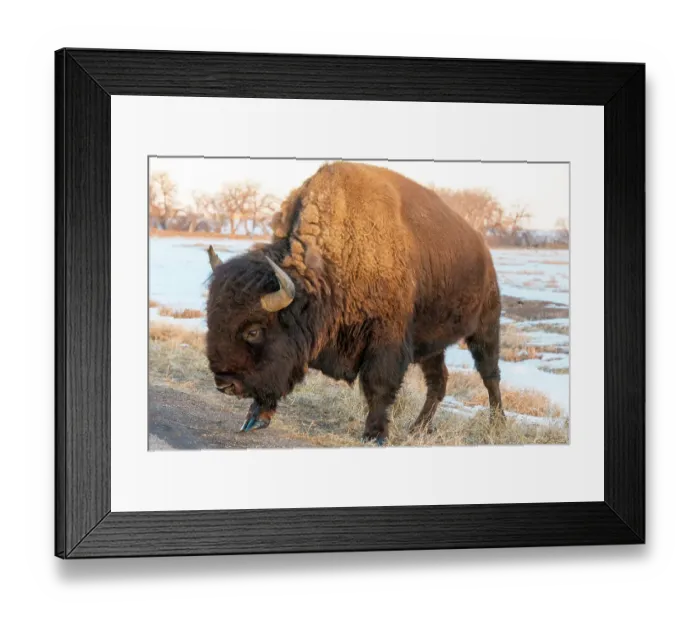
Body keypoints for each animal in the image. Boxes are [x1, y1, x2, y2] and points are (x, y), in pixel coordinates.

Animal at [206, 162, 503, 445]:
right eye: (211, 321)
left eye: (253, 331)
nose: (224, 385)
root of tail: (483, 250)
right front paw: (254, 419)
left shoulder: (386, 340)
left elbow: (378, 384)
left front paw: (375, 435)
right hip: (432, 344)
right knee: (438, 381)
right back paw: (418, 427)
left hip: (485, 328)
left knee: (490, 374)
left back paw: (497, 425)